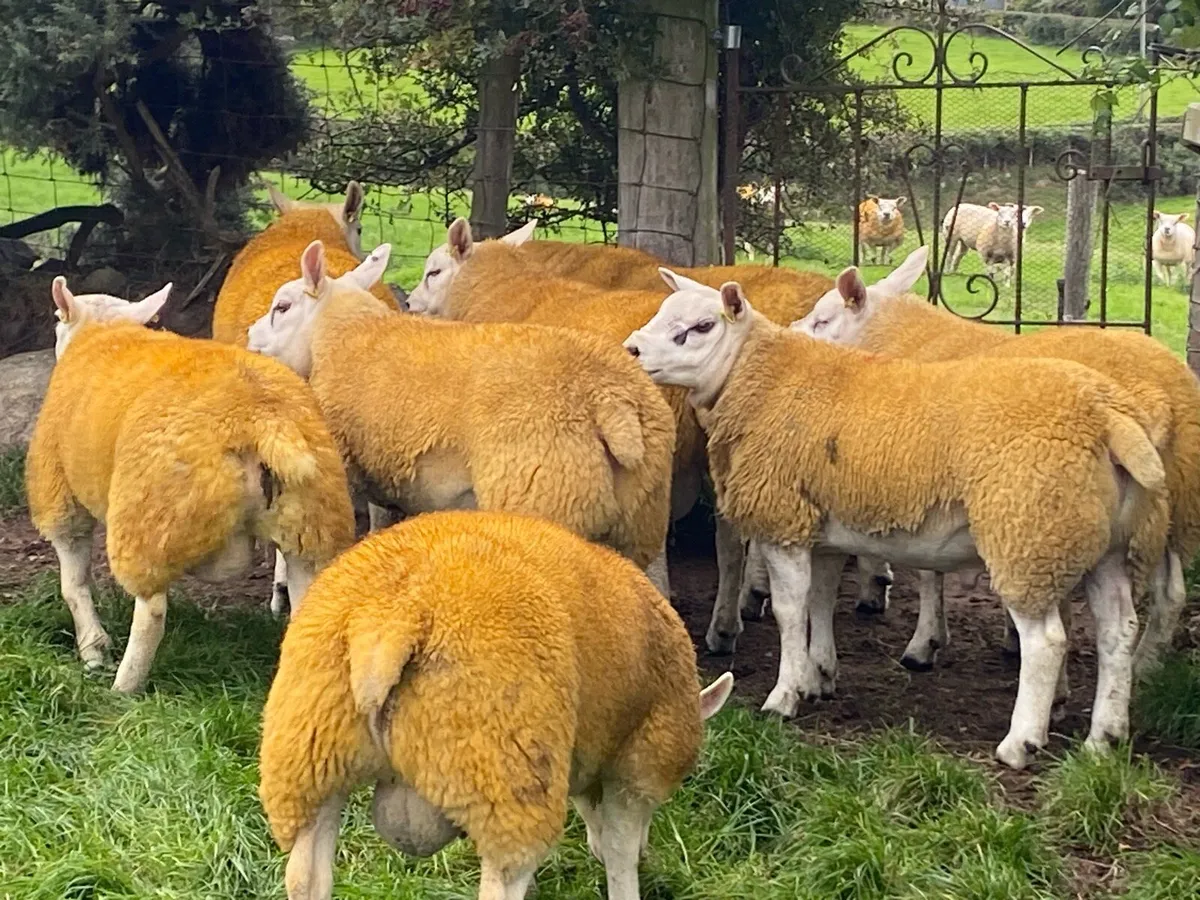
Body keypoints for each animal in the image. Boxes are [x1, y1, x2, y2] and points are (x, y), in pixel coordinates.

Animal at [25, 277, 355, 693]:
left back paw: (122, 689)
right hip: (311, 525)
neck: (105, 332)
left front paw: (93, 652)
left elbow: (74, 584)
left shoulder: (60, 496)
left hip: (149, 516)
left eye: (56, 317)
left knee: (151, 610)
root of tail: (263, 417)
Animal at [246, 239, 676, 597]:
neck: (344, 333)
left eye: (282, 307)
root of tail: (608, 400)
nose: (250, 338)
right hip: (643, 525)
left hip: (543, 503)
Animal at [258, 509, 734, 900]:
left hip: (309, 758)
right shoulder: (639, 766)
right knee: (502, 882)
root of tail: (395, 615)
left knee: (305, 876)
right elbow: (620, 850)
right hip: (507, 772)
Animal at [624, 271, 1168, 770]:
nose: (630, 350)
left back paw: (1020, 743)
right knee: (1118, 630)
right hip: (1102, 542)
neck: (760, 380)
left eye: (700, 326)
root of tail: (1108, 416)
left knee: (1047, 642)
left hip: (1028, 531)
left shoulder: (784, 520)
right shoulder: (822, 529)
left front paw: (784, 695)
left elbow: (789, 611)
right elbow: (820, 602)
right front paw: (819, 675)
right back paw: (1105, 737)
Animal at [794, 248, 1198, 681]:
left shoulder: (923, 485)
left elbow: (928, 573)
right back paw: (1145, 666)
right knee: (1170, 592)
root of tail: (1157, 392)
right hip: (1168, 509)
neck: (900, 340)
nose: (788, 332)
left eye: (822, 320)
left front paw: (925, 642)